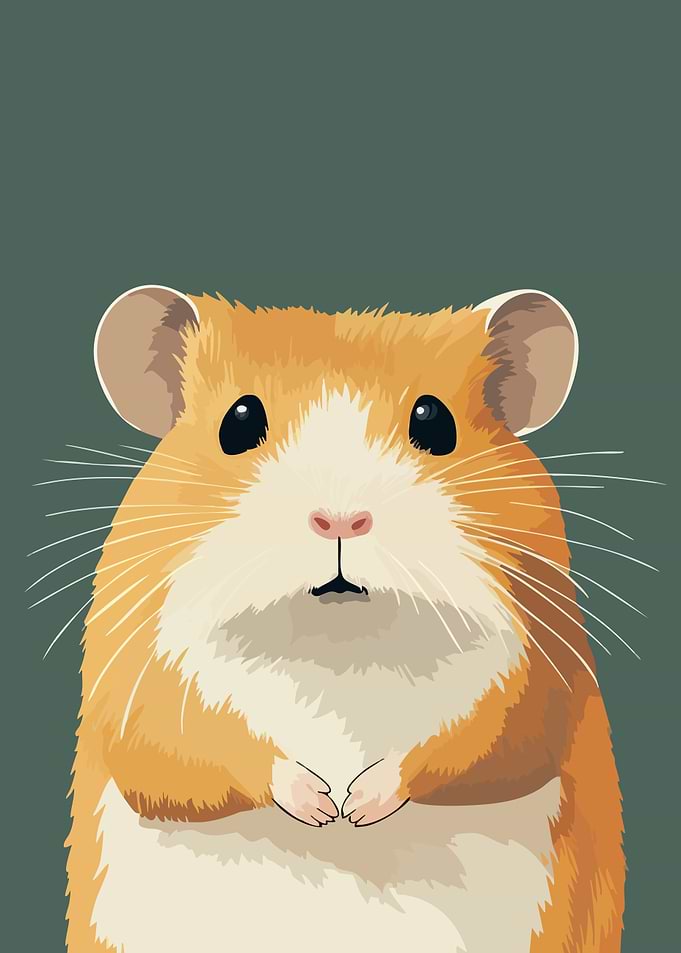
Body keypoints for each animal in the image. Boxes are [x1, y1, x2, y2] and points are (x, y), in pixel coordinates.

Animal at [65, 286, 624, 953]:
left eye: (433, 422)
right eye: (239, 421)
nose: (339, 519)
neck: (337, 647)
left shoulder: (540, 668)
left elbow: (488, 740)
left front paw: (354, 806)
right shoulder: (132, 679)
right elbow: (178, 749)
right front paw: (323, 806)